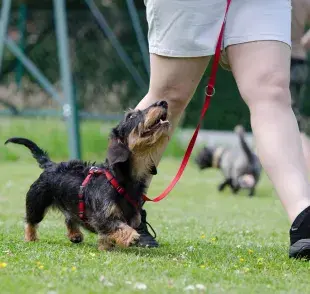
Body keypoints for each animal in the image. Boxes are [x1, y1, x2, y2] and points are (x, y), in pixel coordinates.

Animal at [4, 100, 170, 250]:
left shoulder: (133, 216)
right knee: (30, 221)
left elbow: (109, 233)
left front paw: (107, 245)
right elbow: (117, 226)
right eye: (131, 116)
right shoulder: (102, 216)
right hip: (36, 203)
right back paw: (30, 238)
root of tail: (51, 165)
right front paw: (131, 236)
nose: (163, 102)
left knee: (69, 218)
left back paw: (75, 235)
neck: (121, 179)